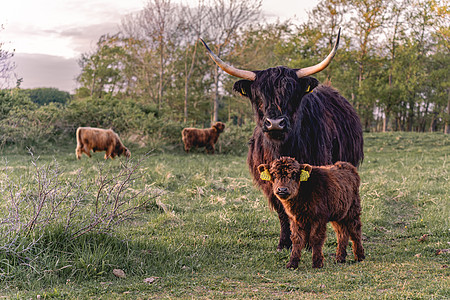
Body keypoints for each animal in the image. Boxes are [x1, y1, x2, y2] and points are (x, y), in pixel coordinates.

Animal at [202, 29, 364, 251]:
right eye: (258, 95)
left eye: (292, 93)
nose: (275, 123)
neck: (281, 148)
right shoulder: (270, 183)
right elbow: (282, 210)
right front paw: (284, 242)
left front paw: (307, 242)